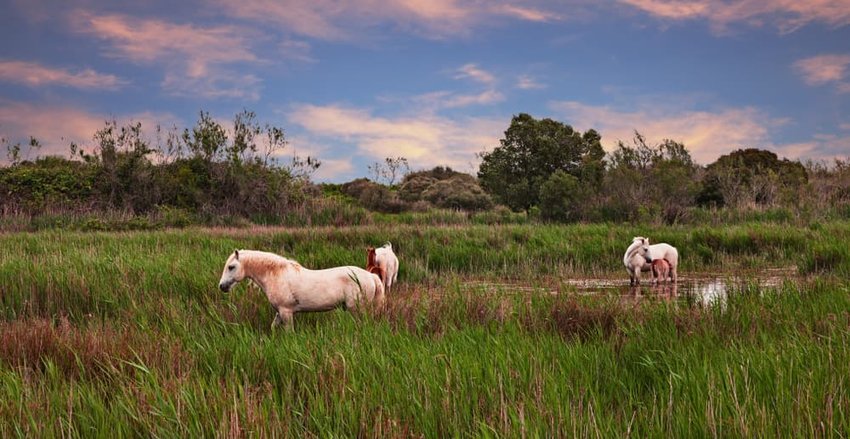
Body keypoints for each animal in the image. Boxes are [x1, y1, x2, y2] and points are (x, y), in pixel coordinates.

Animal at [215, 251, 384, 330]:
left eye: (231, 267)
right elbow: (273, 328)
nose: (222, 286)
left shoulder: (286, 312)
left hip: (356, 309)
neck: (277, 275)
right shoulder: (279, 312)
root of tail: (371, 276)